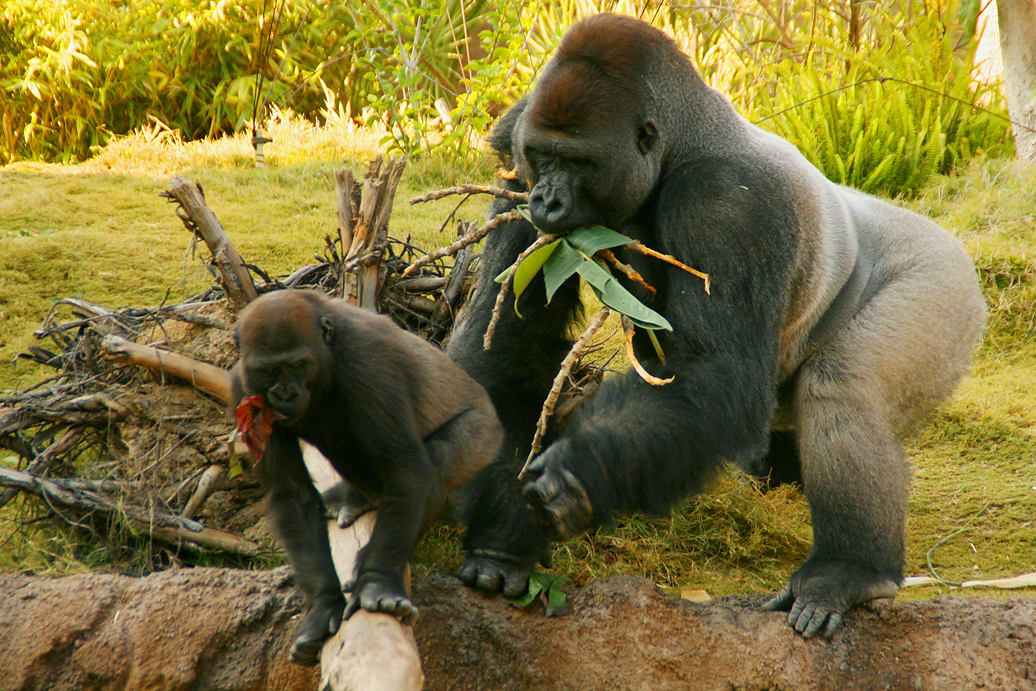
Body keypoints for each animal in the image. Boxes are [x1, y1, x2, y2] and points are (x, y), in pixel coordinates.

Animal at [230, 289, 502, 664]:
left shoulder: (371, 364)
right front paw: (323, 604)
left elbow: (405, 466)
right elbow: (292, 493)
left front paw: (377, 582)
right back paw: (357, 497)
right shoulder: (243, 386)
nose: (284, 393)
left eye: (298, 365)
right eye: (268, 371)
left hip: (483, 434)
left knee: (437, 461)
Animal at [447, 13, 986, 637]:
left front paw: (579, 473)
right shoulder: (514, 155)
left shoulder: (725, 205)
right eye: (542, 155)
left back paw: (851, 569)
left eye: (578, 162)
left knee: (843, 389)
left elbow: (713, 373)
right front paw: (503, 536)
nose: (547, 201)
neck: (680, 144)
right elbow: (511, 346)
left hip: (944, 287)